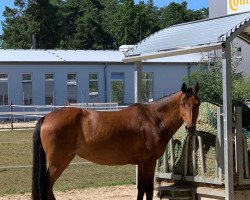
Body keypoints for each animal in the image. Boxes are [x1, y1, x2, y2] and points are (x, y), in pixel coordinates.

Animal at [31, 83, 199, 200]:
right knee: (46, 185)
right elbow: (148, 189)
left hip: (64, 160)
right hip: (57, 163)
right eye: (182, 104)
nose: (190, 127)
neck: (153, 118)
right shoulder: (149, 162)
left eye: (197, 103)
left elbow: (141, 189)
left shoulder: (141, 163)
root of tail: (47, 117)